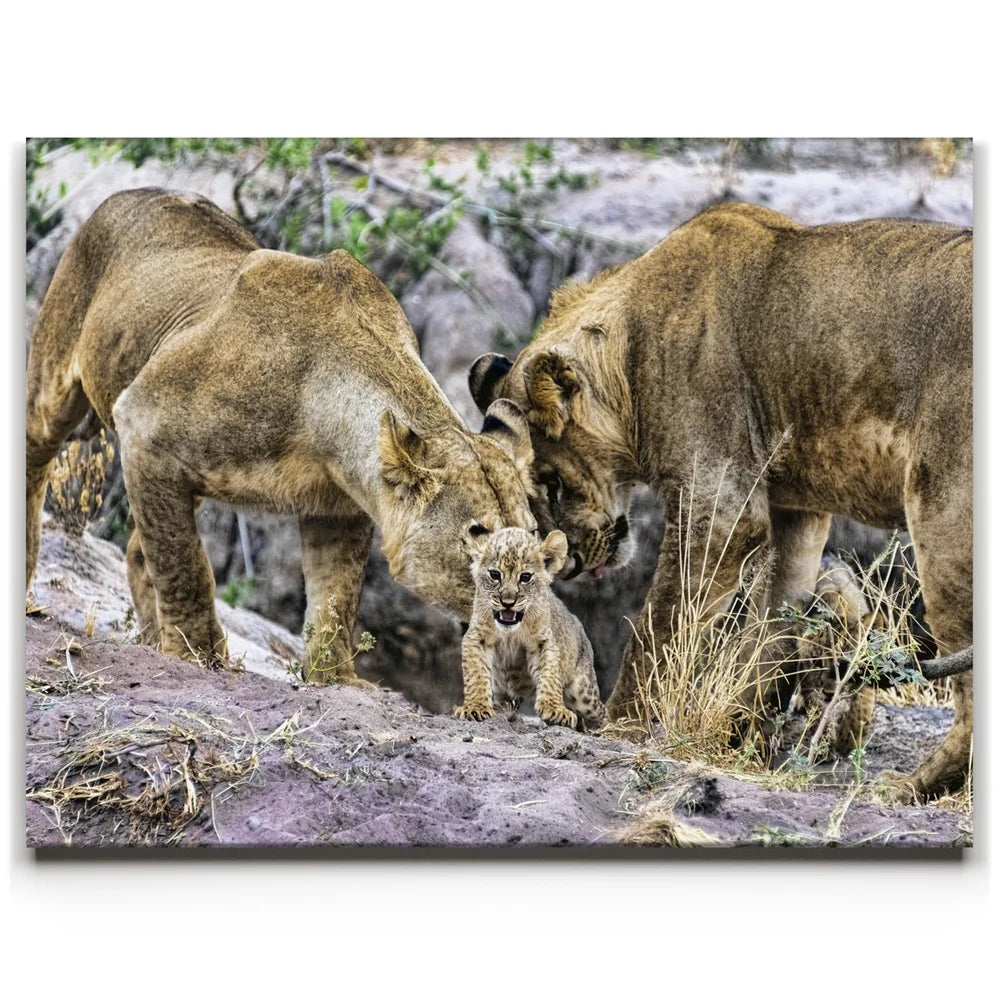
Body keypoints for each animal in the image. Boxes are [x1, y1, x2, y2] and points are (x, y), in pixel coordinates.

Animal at [26, 187, 536, 682]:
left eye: (533, 538)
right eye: (481, 543)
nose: (524, 608)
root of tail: (127, 194)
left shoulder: (340, 508)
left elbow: (336, 601)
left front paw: (336, 680)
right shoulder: (143, 423)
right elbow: (184, 567)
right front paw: (198, 656)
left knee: (137, 548)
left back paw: (151, 639)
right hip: (57, 380)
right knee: (37, 459)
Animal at [456, 526, 605, 731]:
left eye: (525, 577)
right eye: (495, 575)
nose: (508, 602)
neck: (510, 632)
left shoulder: (543, 641)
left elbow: (549, 675)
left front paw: (555, 710)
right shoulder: (477, 637)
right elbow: (476, 674)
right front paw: (475, 707)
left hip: (584, 691)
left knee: (600, 711)